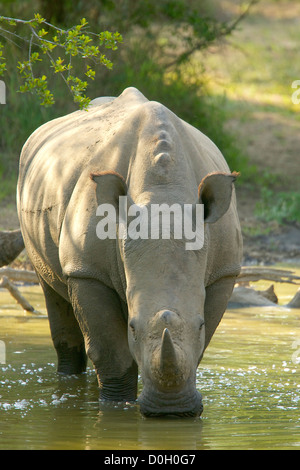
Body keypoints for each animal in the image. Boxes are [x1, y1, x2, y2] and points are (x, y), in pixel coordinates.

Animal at [17, 86, 244, 416]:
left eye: (200, 325)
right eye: (133, 328)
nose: (170, 411)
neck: (163, 196)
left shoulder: (223, 273)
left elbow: (198, 345)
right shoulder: (87, 271)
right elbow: (110, 351)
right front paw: (116, 406)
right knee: (51, 288)